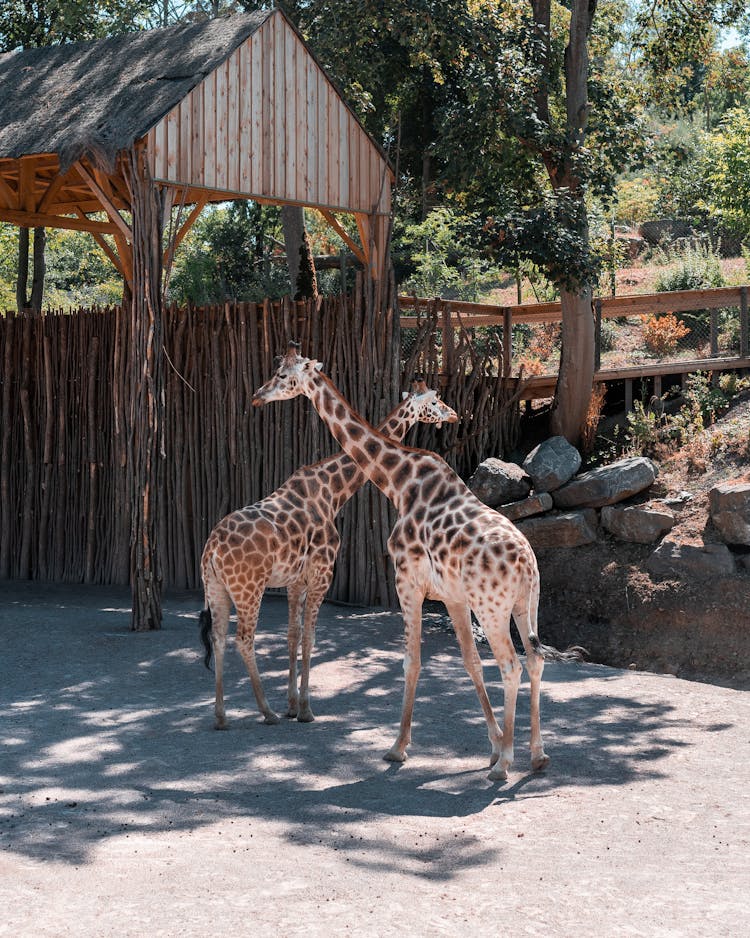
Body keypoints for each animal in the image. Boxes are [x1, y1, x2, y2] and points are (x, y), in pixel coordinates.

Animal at [200, 376, 458, 728]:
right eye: (434, 402)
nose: (453, 414)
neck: (333, 491)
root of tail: (212, 548)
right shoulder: (322, 573)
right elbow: (310, 637)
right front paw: (305, 710)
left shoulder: (295, 580)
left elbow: (292, 635)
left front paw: (292, 705)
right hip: (249, 589)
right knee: (243, 639)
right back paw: (266, 711)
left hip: (216, 587)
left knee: (218, 638)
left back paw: (221, 716)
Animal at [254, 340, 580, 780]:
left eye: (284, 376)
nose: (258, 396)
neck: (398, 482)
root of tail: (527, 565)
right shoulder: (454, 597)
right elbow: (469, 662)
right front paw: (493, 745)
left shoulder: (407, 583)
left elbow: (411, 661)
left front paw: (398, 748)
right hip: (527, 604)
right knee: (535, 659)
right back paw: (537, 754)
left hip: (492, 609)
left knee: (511, 665)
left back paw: (506, 765)